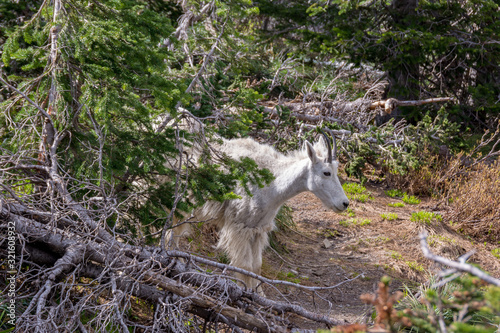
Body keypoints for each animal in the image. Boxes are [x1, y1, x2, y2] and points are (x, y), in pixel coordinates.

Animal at [168, 130, 348, 294]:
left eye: (336, 170)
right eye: (326, 172)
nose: (344, 203)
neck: (273, 184)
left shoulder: (258, 228)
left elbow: (257, 266)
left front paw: (259, 294)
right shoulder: (239, 227)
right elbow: (245, 265)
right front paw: (244, 291)